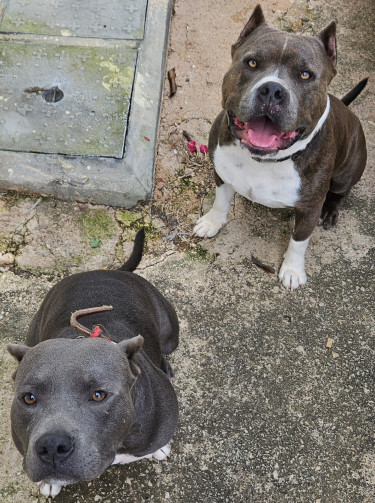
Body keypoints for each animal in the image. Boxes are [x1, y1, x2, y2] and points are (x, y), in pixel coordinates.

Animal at [7, 230, 180, 498]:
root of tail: (107, 270)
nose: (52, 445)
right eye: (29, 398)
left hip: (171, 332)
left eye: (99, 395)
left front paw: (158, 449)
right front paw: (50, 483)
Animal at [195, 4, 368, 292]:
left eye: (306, 75)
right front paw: (212, 221)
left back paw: (331, 211)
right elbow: (220, 201)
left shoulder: (309, 209)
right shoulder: (220, 172)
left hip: (347, 173)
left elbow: (299, 241)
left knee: (339, 193)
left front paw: (292, 270)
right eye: (252, 63)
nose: (272, 90)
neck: (264, 161)